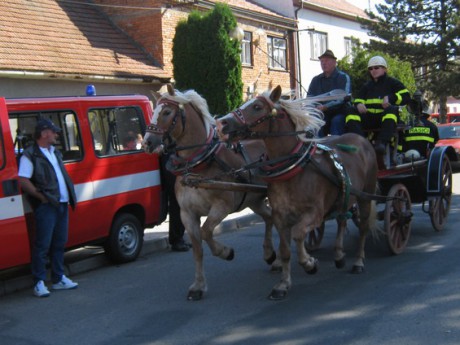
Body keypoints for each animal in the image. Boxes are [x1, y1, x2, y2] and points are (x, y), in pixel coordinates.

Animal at [142, 84, 276, 300]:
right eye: (154, 111)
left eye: (167, 112)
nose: (147, 143)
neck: (199, 164)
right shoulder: (187, 214)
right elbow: (197, 250)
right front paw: (198, 286)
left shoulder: (222, 206)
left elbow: (206, 232)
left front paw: (226, 252)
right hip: (254, 199)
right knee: (270, 217)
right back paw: (271, 256)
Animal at [217, 85, 380, 298]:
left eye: (257, 107)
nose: (221, 123)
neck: (293, 166)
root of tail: (361, 139)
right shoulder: (280, 216)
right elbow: (285, 249)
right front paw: (283, 284)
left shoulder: (315, 213)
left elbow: (298, 234)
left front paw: (309, 263)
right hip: (344, 196)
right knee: (342, 220)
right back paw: (338, 255)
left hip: (365, 196)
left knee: (363, 227)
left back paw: (358, 261)